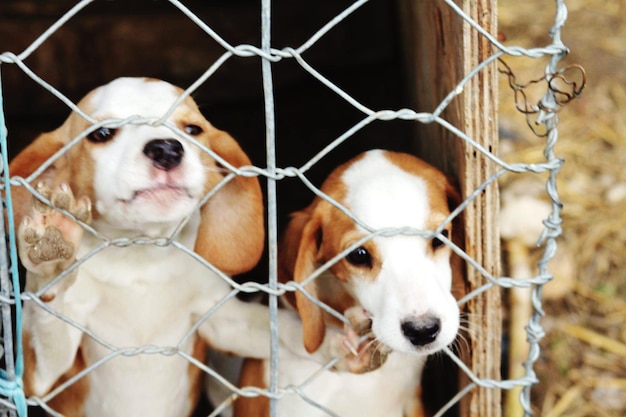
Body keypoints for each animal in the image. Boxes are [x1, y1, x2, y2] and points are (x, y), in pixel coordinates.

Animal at [9, 78, 368, 416]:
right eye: (102, 133)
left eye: (193, 130)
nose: (167, 149)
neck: (140, 257)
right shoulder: (41, 379)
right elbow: (47, 323)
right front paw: (51, 256)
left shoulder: (221, 321)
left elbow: (281, 330)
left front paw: (335, 343)